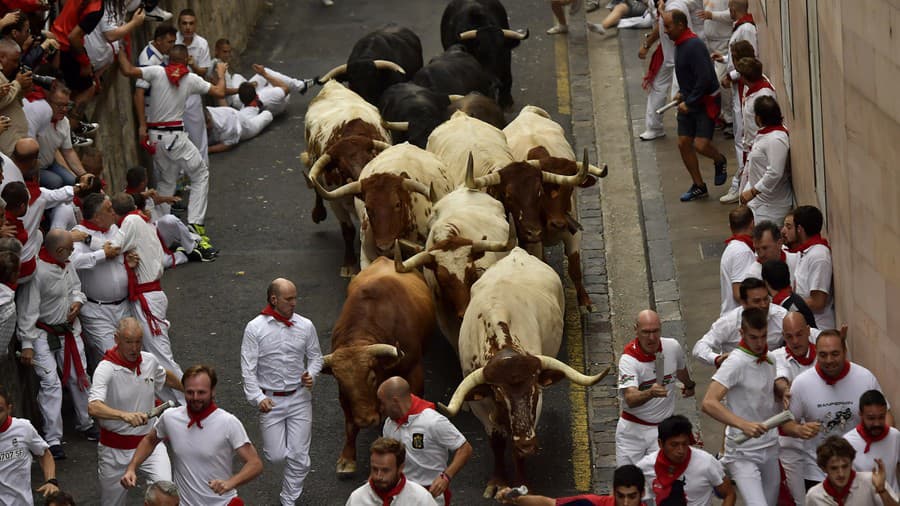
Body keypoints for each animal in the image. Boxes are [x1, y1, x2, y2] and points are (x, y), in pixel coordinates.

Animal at [304, 80, 392, 276]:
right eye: (342, 169)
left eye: (369, 159)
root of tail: (333, 84)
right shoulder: (336, 202)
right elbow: (348, 230)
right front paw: (349, 264)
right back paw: (318, 213)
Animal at [322, 256, 438, 474]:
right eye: (342, 383)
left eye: (372, 377)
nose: (366, 420)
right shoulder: (344, 398)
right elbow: (350, 425)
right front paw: (347, 458)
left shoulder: (414, 370)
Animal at [440, 247, 608, 496]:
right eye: (499, 395)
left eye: (534, 391)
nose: (528, 446)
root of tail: (517, 251)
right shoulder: (481, 406)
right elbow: (497, 441)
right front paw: (498, 480)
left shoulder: (535, 407)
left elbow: (516, 447)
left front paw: (521, 485)